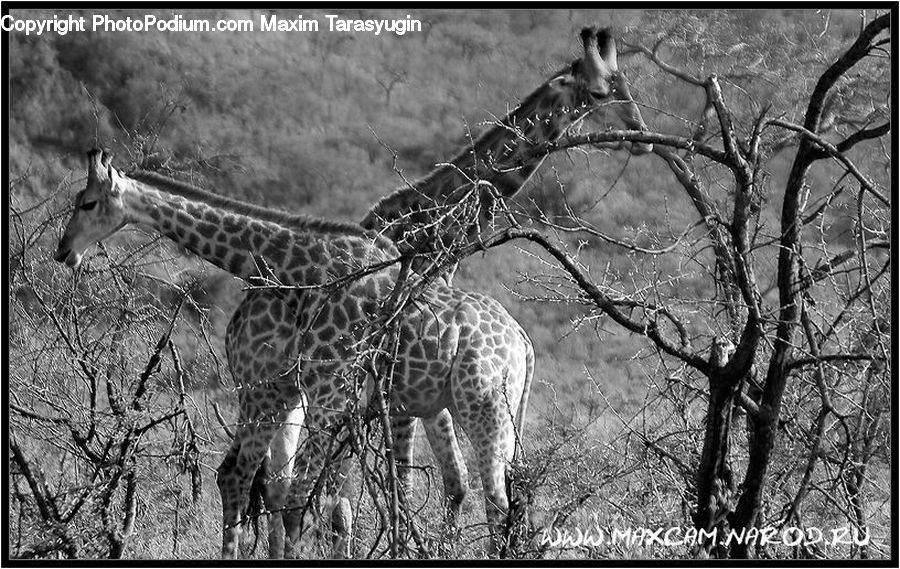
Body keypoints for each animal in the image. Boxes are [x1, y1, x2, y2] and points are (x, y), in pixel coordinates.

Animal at [54, 149, 534, 558]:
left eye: (89, 203)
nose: (63, 251)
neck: (301, 269)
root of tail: (523, 343)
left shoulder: (332, 390)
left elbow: (311, 496)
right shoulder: (335, 396)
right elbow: (322, 497)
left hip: (481, 407)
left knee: (496, 500)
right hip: (491, 413)